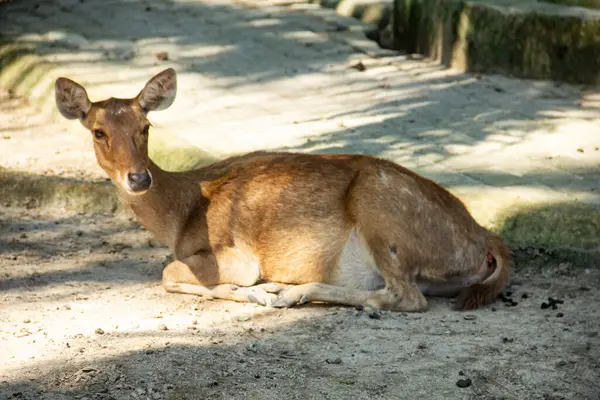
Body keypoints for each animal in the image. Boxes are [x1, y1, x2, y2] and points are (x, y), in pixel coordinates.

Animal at [55, 68, 510, 312]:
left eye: (146, 126)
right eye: (98, 131)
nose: (139, 178)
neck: (178, 217)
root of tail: (487, 239)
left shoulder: (237, 255)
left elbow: (168, 272)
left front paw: (255, 293)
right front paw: (262, 293)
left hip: (380, 206)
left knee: (406, 297)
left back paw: (290, 294)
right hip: (438, 274)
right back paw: (293, 293)